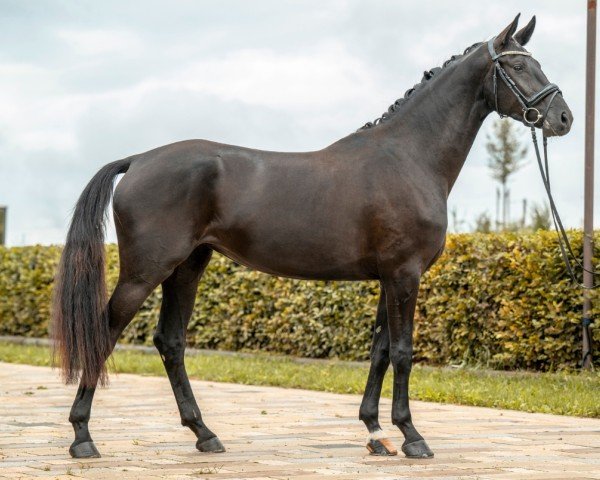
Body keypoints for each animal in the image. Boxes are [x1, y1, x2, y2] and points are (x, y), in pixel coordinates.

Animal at [55, 13, 572, 460]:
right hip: (146, 271)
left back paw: (205, 433)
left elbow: (380, 350)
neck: (409, 156)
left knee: (171, 342)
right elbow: (403, 352)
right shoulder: (405, 274)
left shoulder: (388, 277)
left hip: (187, 266)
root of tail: (138, 159)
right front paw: (411, 436)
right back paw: (83, 437)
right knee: (105, 332)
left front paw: (375, 431)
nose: (563, 118)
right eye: (519, 65)